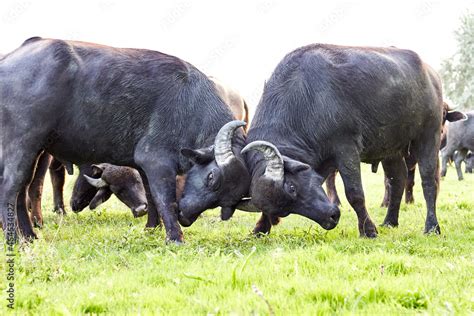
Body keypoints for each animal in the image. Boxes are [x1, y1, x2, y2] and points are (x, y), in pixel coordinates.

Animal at [2, 37, 248, 242]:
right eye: (211, 177)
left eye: (228, 201)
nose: (186, 218)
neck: (190, 106)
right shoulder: (157, 162)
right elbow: (165, 199)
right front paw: (175, 237)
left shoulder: (144, 168)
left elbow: (150, 196)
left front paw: (151, 228)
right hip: (21, 145)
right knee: (9, 189)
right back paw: (16, 241)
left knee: (22, 190)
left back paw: (29, 235)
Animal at [180, 43, 446, 237]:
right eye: (285, 210)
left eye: (291, 187)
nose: (332, 218)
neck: (307, 100)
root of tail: (431, 73)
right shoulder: (322, 160)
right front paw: (259, 228)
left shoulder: (346, 147)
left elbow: (354, 192)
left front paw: (368, 230)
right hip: (390, 148)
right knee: (397, 179)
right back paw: (390, 221)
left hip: (428, 135)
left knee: (429, 181)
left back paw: (431, 226)